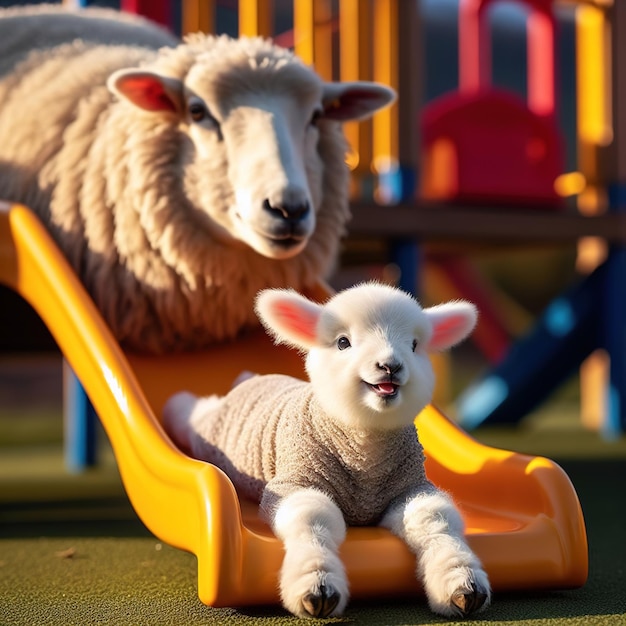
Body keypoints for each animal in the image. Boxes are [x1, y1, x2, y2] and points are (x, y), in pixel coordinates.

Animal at [163, 282, 490, 620]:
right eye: (343, 342)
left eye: (414, 345)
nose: (391, 366)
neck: (364, 450)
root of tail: (253, 377)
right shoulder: (295, 482)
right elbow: (312, 517)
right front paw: (316, 584)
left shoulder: (410, 487)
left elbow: (433, 518)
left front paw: (462, 582)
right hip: (215, 431)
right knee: (195, 415)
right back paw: (175, 405)